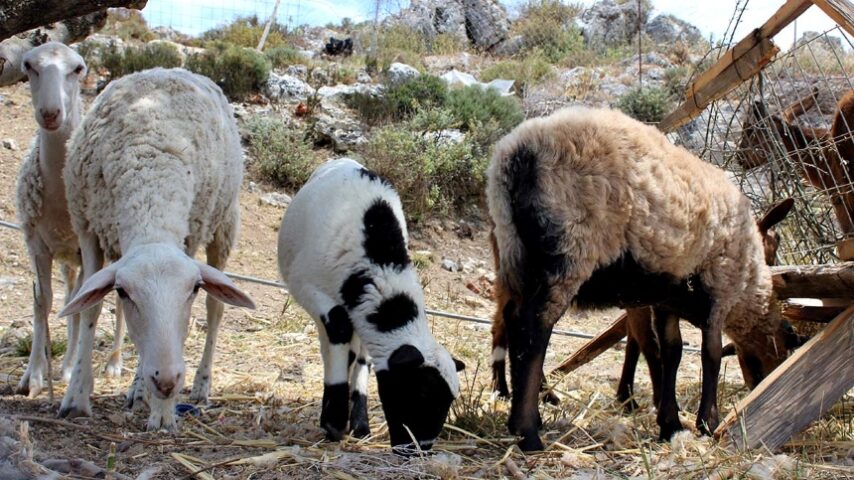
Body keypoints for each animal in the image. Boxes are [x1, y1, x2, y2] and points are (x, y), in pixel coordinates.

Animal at [15, 42, 126, 398]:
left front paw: (70, 369)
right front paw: (34, 376)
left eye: (78, 69)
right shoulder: (37, 244)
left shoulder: (85, 248)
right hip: (67, 258)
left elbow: (83, 305)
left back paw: (113, 362)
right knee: (66, 298)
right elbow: (42, 302)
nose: (51, 113)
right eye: (28, 66)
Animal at [59, 67, 256, 432]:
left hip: (224, 224)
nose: (166, 381)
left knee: (215, 311)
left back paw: (199, 384)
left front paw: (163, 412)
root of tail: (173, 68)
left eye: (194, 288)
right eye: (123, 292)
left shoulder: (191, 236)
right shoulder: (87, 228)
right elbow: (90, 310)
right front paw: (76, 395)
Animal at [280, 158, 468, 454]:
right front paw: (333, 422)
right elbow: (339, 327)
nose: (420, 448)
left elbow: (363, 357)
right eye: (420, 391)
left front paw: (358, 423)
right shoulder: (307, 286)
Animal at [492, 105, 800, 450]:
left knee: (510, 321)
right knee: (534, 329)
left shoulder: (667, 300)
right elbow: (711, 354)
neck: (748, 285)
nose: (762, 386)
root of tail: (517, 152)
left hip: (514, 251)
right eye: (783, 346)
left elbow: (671, 352)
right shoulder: (718, 289)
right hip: (567, 251)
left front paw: (670, 423)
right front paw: (708, 422)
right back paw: (528, 431)